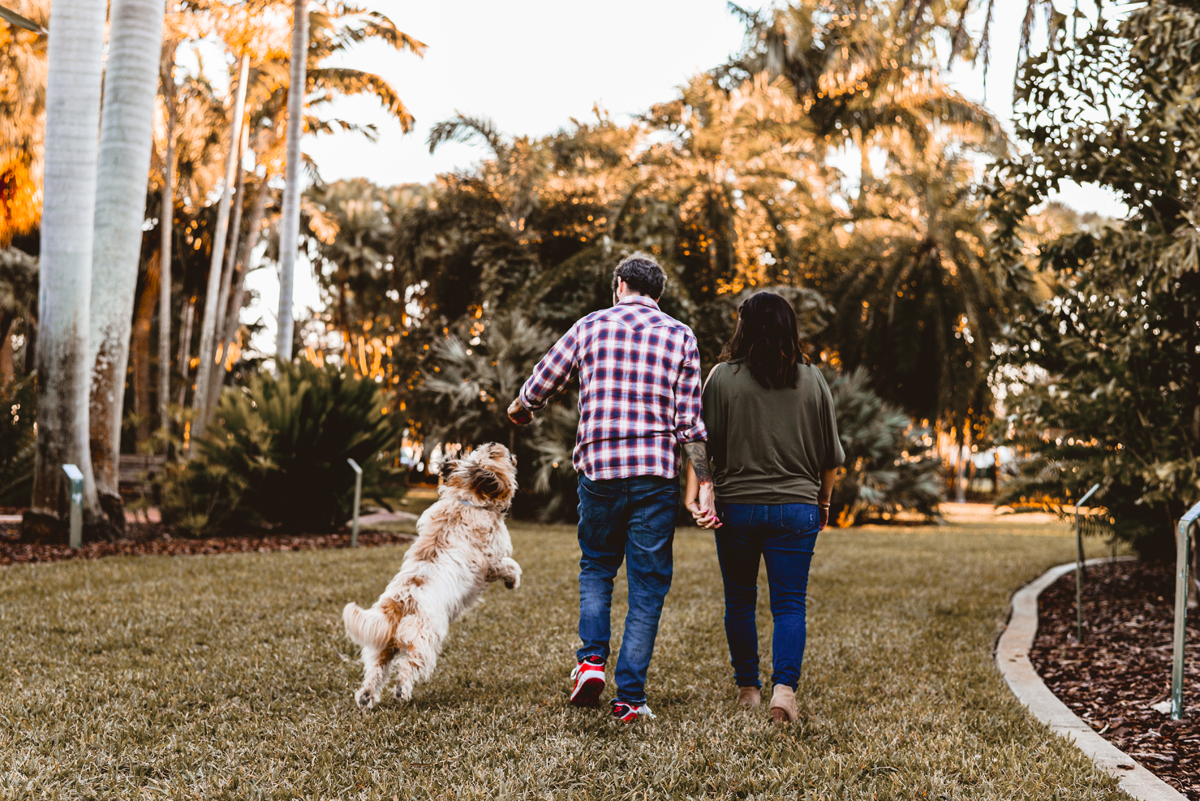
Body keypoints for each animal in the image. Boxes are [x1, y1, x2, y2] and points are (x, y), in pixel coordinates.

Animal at [343, 441, 520, 709]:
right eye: (493, 454)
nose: (495, 443)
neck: (467, 499)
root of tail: (398, 605)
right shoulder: (491, 562)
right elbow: (508, 566)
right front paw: (513, 580)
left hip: (380, 647)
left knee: (375, 673)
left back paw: (366, 698)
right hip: (425, 641)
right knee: (408, 666)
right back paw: (401, 692)